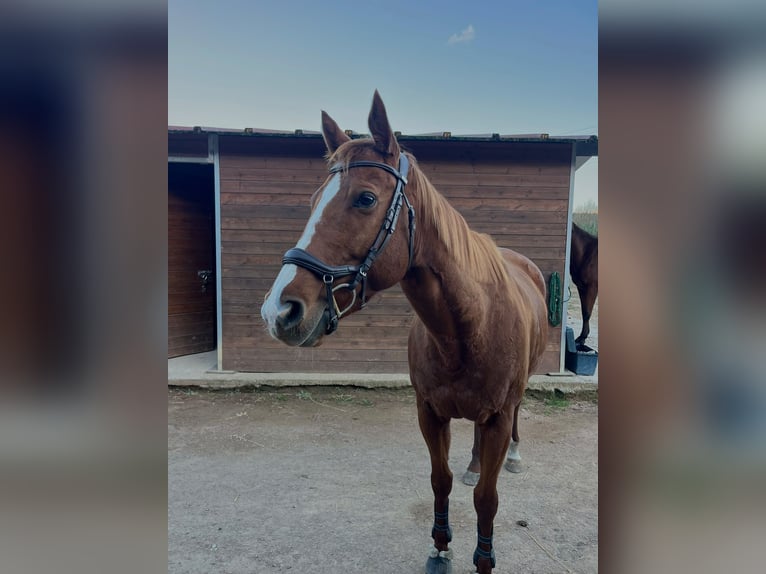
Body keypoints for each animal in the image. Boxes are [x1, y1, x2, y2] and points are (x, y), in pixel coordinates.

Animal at [261, 91, 548, 574]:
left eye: (365, 198)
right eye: (315, 198)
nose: (278, 310)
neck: (468, 331)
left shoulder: (497, 417)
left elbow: (486, 500)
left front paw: (483, 558)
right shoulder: (429, 413)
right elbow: (441, 480)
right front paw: (440, 547)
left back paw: (514, 457)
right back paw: (474, 464)